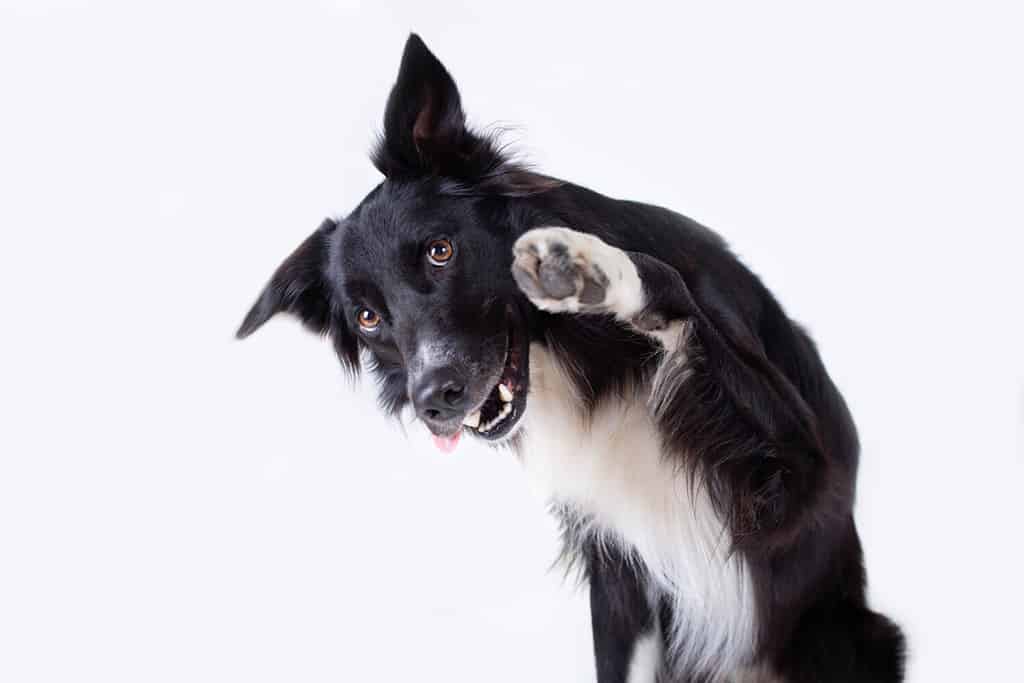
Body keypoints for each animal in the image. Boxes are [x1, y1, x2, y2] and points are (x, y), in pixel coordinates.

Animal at [237, 36, 905, 683]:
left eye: (439, 250)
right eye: (367, 318)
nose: (434, 402)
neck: (582, 360)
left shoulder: (794, 480)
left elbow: (669, 287)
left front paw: (587, 268)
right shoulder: (619, 577)